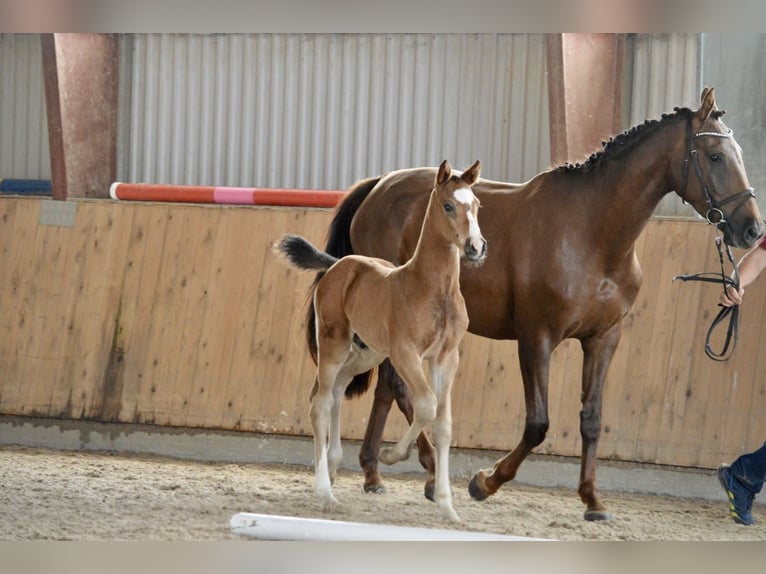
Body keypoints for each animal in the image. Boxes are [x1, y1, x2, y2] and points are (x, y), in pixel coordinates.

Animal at [276, 159, 487, 522]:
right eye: (448, 205)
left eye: (475, 205)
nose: (475, 247)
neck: (432, 289)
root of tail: (339, 264)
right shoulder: (405, 354)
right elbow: (426, 404)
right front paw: (391, 455)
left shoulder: (446, 358)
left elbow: (443, 423)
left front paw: (448, 506)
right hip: (334, 342)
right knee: (320, 402)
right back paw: (325, 492)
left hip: (366, 353)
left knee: (336, 391)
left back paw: (333, 468)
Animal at [306, 87, 765, 521]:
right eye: (716, 155)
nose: (752, 229)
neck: (592, 232)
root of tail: (378, 185)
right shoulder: (537, 338)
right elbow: (538, 423)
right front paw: (485, 481)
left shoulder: (604, 338)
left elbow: (591, 420)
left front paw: (592, 499)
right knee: (397, 390)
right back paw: (424, 470)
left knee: (388, 388)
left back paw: (375, 471)